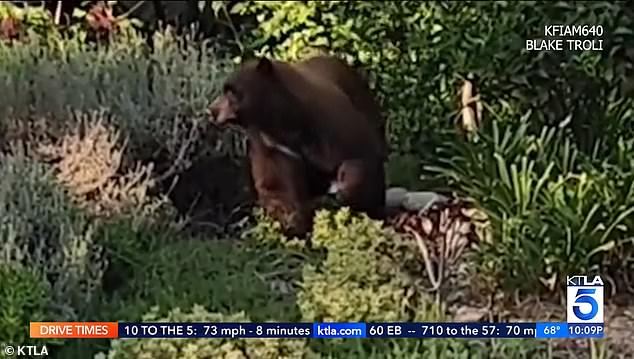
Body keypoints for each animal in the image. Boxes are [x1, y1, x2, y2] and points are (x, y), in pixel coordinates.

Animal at [210, 56, 382, 235]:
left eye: (231, 92)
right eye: (225, 90)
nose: (212, 110)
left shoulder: (334, 129)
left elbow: (358, 160)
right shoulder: (273, 145)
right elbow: (278, 185)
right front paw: (294, 224)